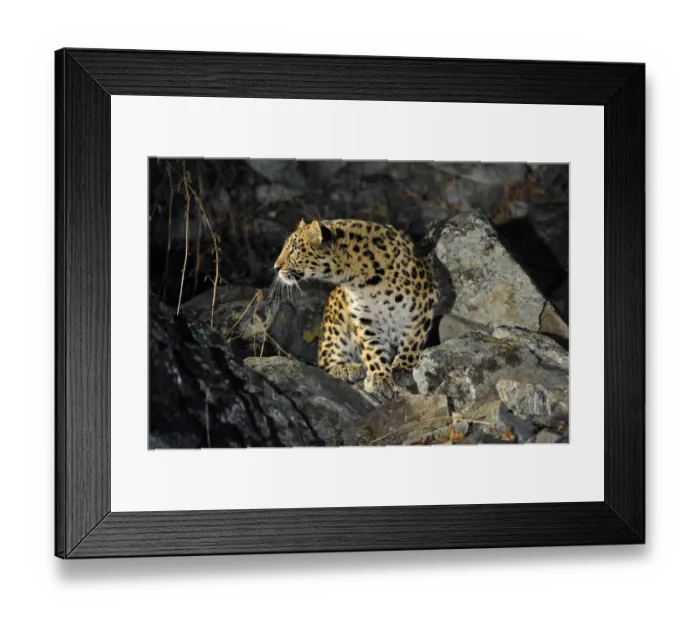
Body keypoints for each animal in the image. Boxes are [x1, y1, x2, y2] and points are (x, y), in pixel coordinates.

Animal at [273, 218, 438, 399]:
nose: (276, 267)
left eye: (294, 249)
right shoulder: (364, 318)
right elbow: (371, 349)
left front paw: (403, 368)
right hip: (335, 328)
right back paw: (351, 368)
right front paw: (379, 378)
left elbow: (413, 340)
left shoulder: (422, 303)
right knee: (325, 363)